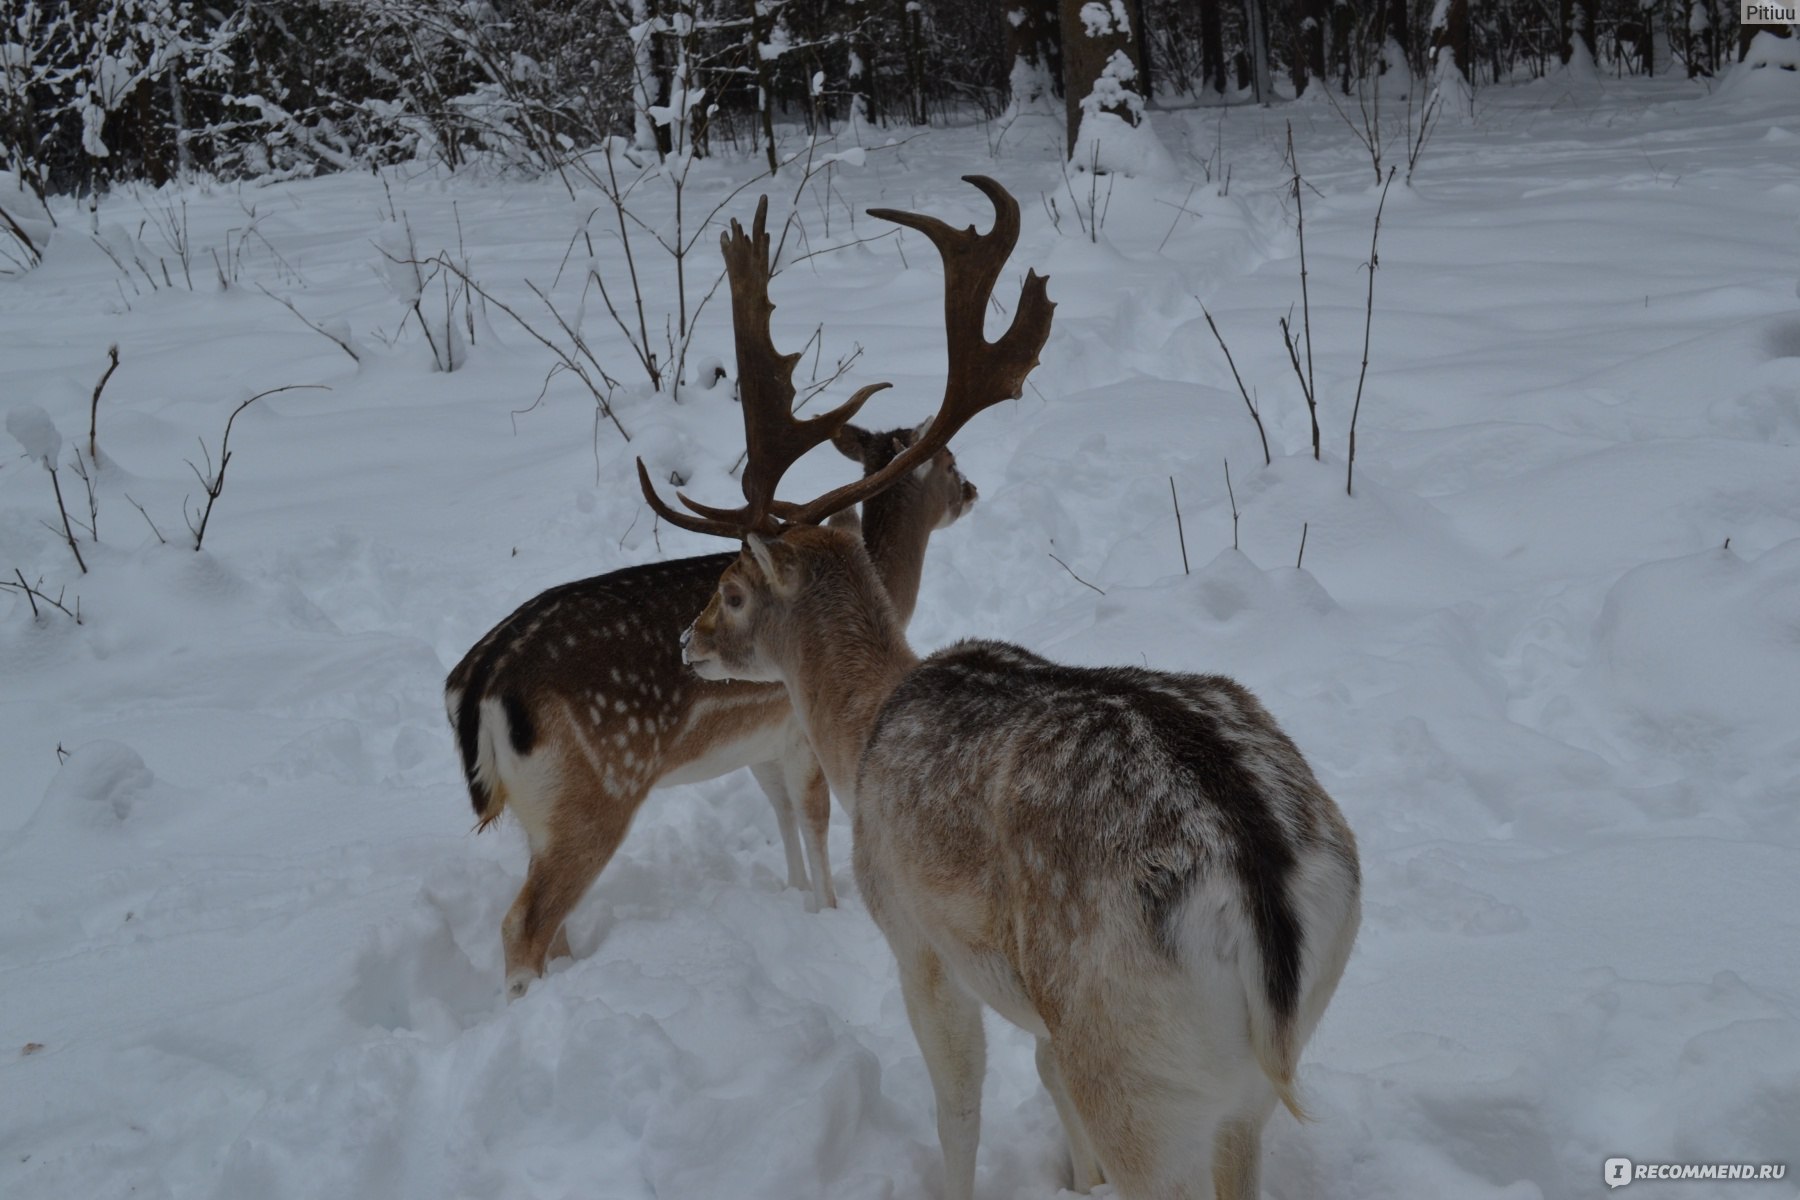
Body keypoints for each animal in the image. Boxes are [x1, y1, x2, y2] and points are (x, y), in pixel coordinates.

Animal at [450, 379, 986, 1000]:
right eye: (949, 460)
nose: (972, 489)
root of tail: (479, 681)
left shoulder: (758, 745)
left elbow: (781, 813)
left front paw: (795, 894)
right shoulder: (799, 731)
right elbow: (814, 818)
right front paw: (826, 907)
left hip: (539, 809)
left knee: (550, 917)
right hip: (597, 790)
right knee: (524, 922)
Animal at [640, 178, 1353, 1200]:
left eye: (732, 589)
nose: (687, 640)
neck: (860, 729)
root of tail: (1259, 877)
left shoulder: (913, 930)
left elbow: (959, 1105)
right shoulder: (1042, 1017)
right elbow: (1045, 1079)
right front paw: (1073, 1180)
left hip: (1129, 1052)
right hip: (1250, 1080)